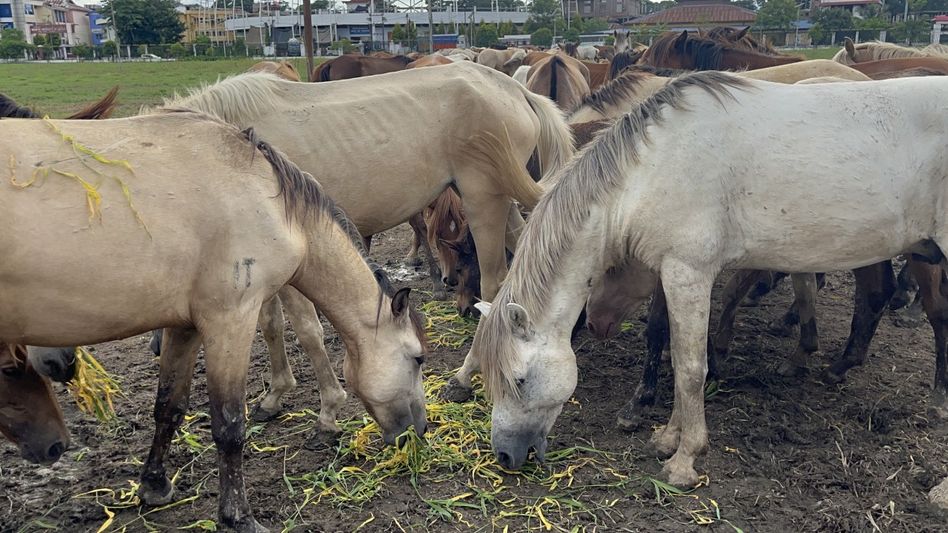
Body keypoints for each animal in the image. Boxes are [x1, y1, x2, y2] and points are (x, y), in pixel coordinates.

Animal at [2, 112, 428, 532]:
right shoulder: (231, 321)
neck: (269, 200)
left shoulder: (184, 327)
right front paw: (238, 517)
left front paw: (155, 484)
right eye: (418, 358)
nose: (420, 430)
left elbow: (169, 407)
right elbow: (229, 425)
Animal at [468, 73, 948, 488]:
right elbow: (679, 357)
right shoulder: (674, 273)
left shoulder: (689, 273)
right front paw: (666, 438)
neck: (652, 170)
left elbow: (690, 369)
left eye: (519, 380)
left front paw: (684, 460)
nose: (504, 455)